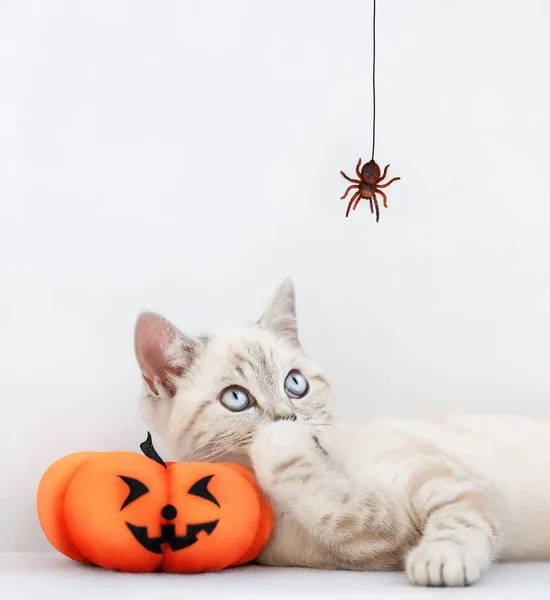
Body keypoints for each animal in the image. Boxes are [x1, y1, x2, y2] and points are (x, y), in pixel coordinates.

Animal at [133, 280, 550, 584]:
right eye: (236, 399)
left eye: (295, 383)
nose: (288, 418)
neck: (328, 462)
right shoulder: (376, 538)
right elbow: (346, 510)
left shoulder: (448, 478)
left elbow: (462, 519)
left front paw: (442, 556)